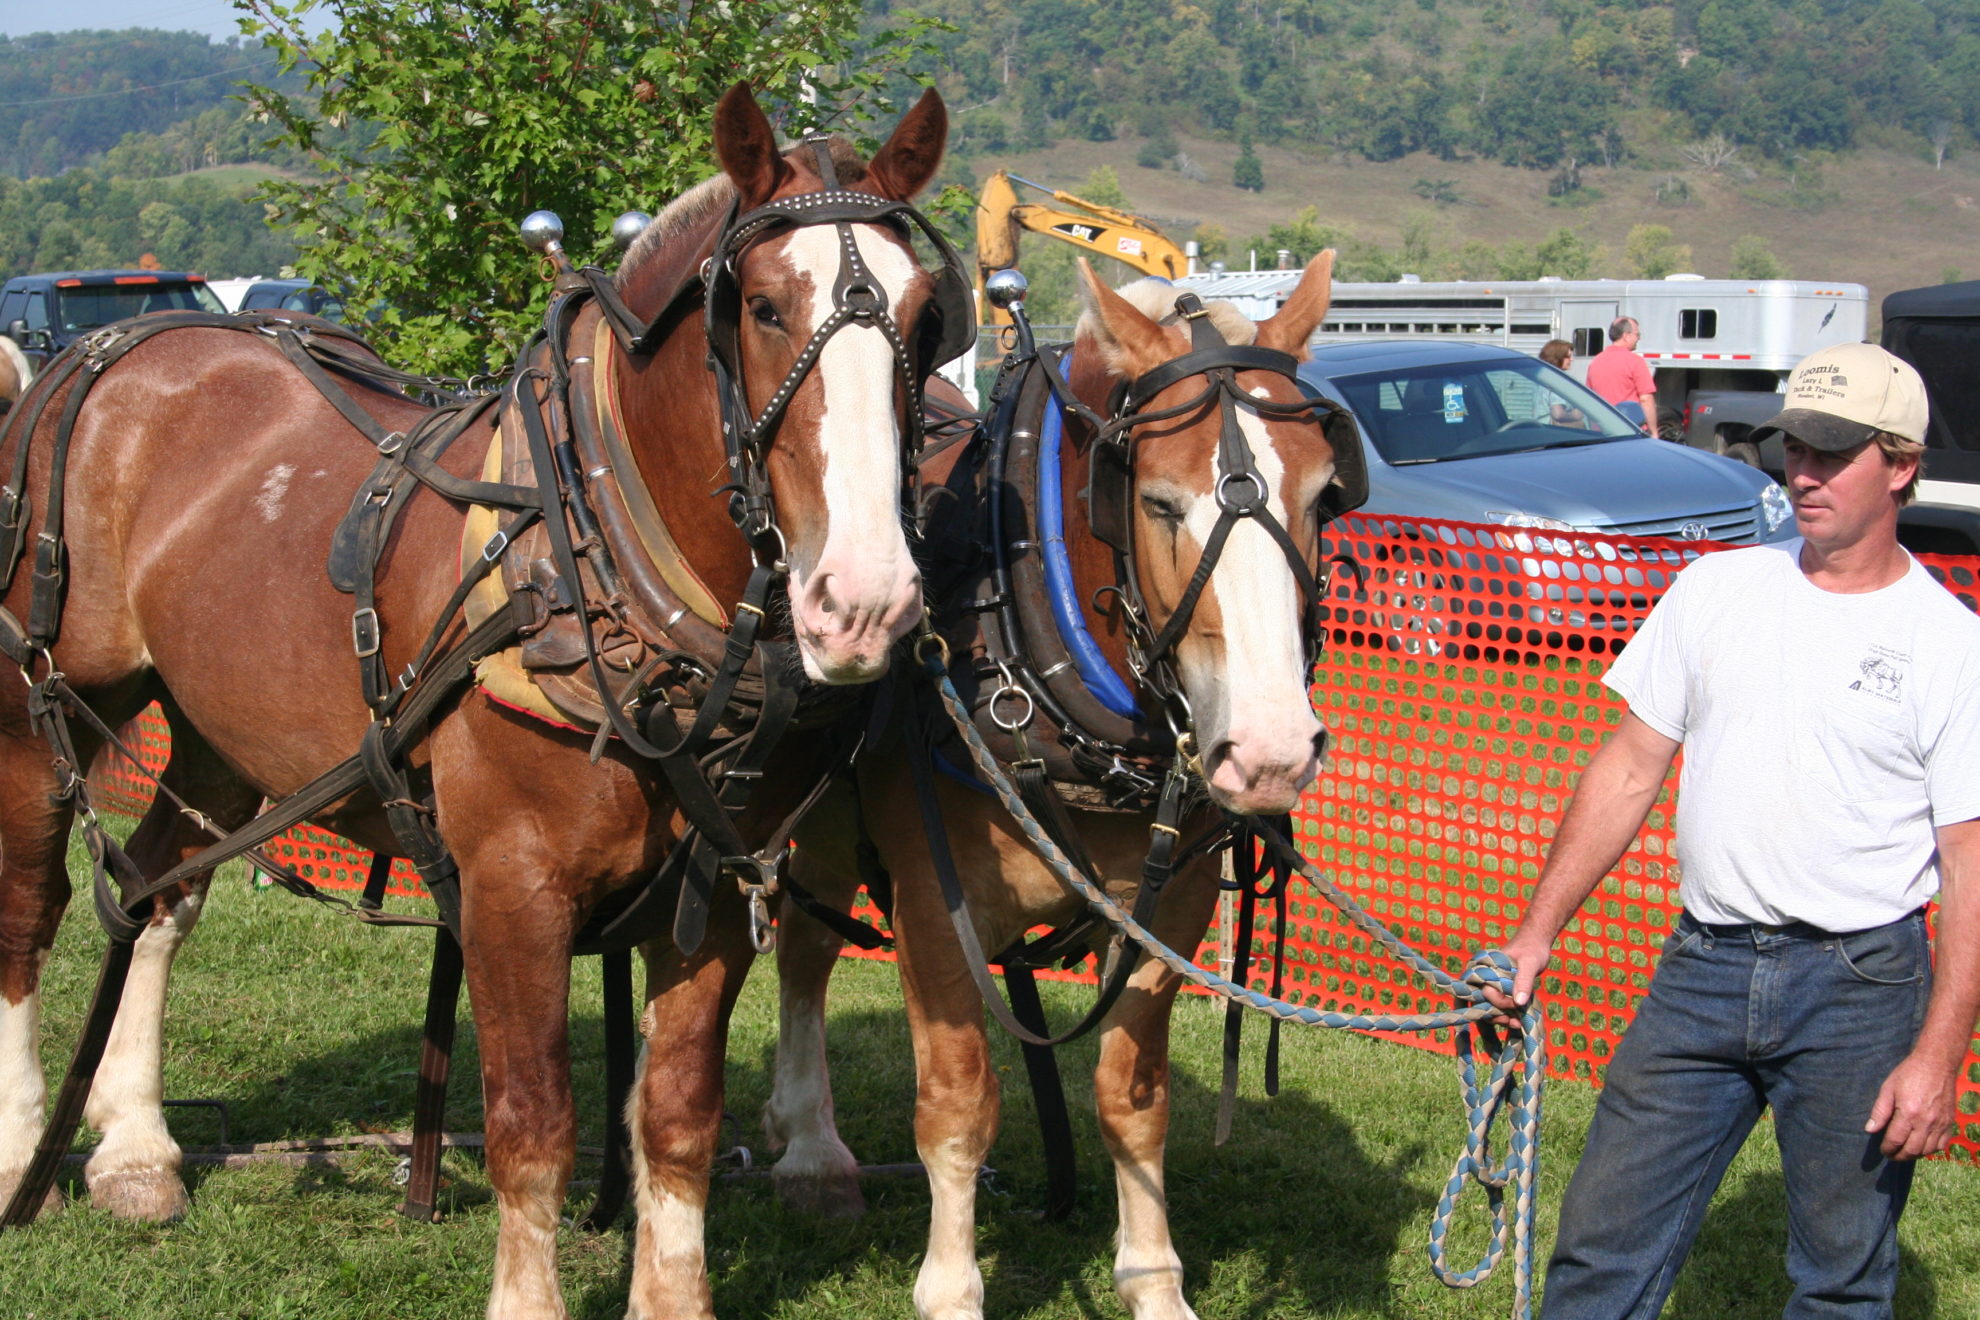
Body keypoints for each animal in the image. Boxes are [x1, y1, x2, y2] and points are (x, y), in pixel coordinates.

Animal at [0, 83, 955, 1320]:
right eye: (761, 307)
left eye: (927, 318)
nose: (865, 600)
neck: (601, 555)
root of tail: (120, 344)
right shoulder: (511, 881)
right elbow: (534, 1126)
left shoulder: (715, 882)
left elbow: (677, 1122)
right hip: (43, 702)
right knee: (32, 911)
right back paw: (21, 1150)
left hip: (217, 728)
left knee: (163, 889)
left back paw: (134, 1151)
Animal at [767, 256, 1349, 1320]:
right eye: (1158, 503)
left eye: (1326, 497)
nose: (1272, 752)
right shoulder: (933, 909)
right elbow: (959, 1109)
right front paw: (951, 1292)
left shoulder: (1173, 912)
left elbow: (1133, 1098)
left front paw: (1154, 1279)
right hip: (827, 823)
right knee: (805, 946)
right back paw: (811, 1152)